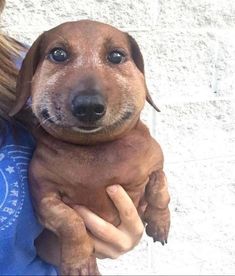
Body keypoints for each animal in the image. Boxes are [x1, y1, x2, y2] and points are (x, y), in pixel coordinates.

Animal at [9, 20, 171, 274]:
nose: (88, 106)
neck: (95, 148)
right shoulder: (45, 200)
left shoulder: (156, 166)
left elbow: (160, 191)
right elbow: (71, 222)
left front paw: (160, 223)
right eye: (58, 54)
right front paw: (78, 261)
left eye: (116, 56)